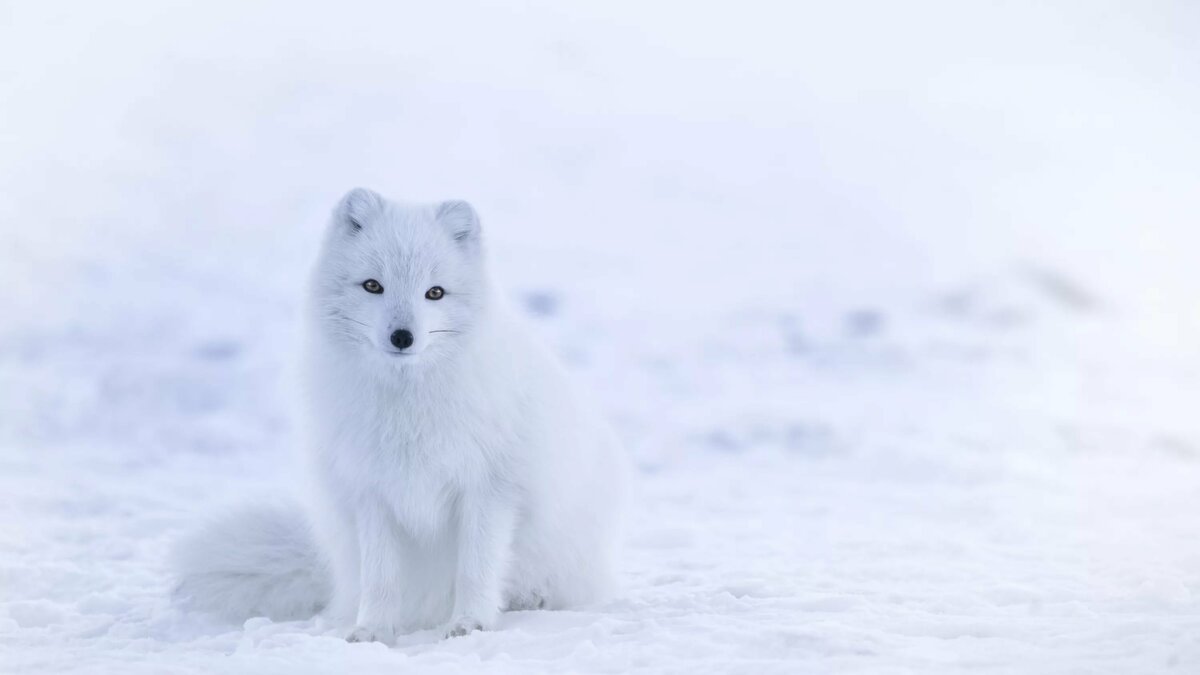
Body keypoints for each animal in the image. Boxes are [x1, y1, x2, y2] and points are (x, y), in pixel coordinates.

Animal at [176, 186, 633, 638]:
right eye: (372, 285)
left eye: (435, 292)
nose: (402, 336)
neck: (407, 404)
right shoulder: (372, 492)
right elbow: (380, 577)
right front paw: (373, 630)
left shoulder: (490, 489)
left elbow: (476, 568)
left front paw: (470, 623)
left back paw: (529, 599)